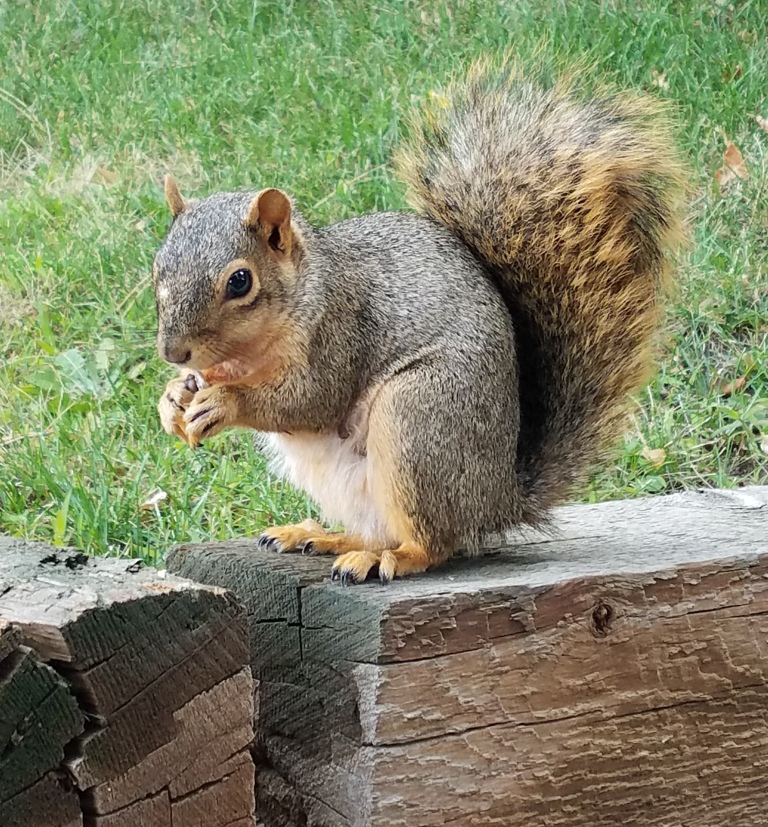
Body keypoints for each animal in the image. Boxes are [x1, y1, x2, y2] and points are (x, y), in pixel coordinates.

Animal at [153, 58, 686, 585]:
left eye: (240, 281)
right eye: (158, 264)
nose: (172, 352)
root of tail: (498, 501)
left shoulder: (340, 330)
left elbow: (311, 400)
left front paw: (223, 402)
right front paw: (174, 399)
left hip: (418, 416)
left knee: (433, 544)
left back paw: (388, 558)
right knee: (377, 529)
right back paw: (324, 537)